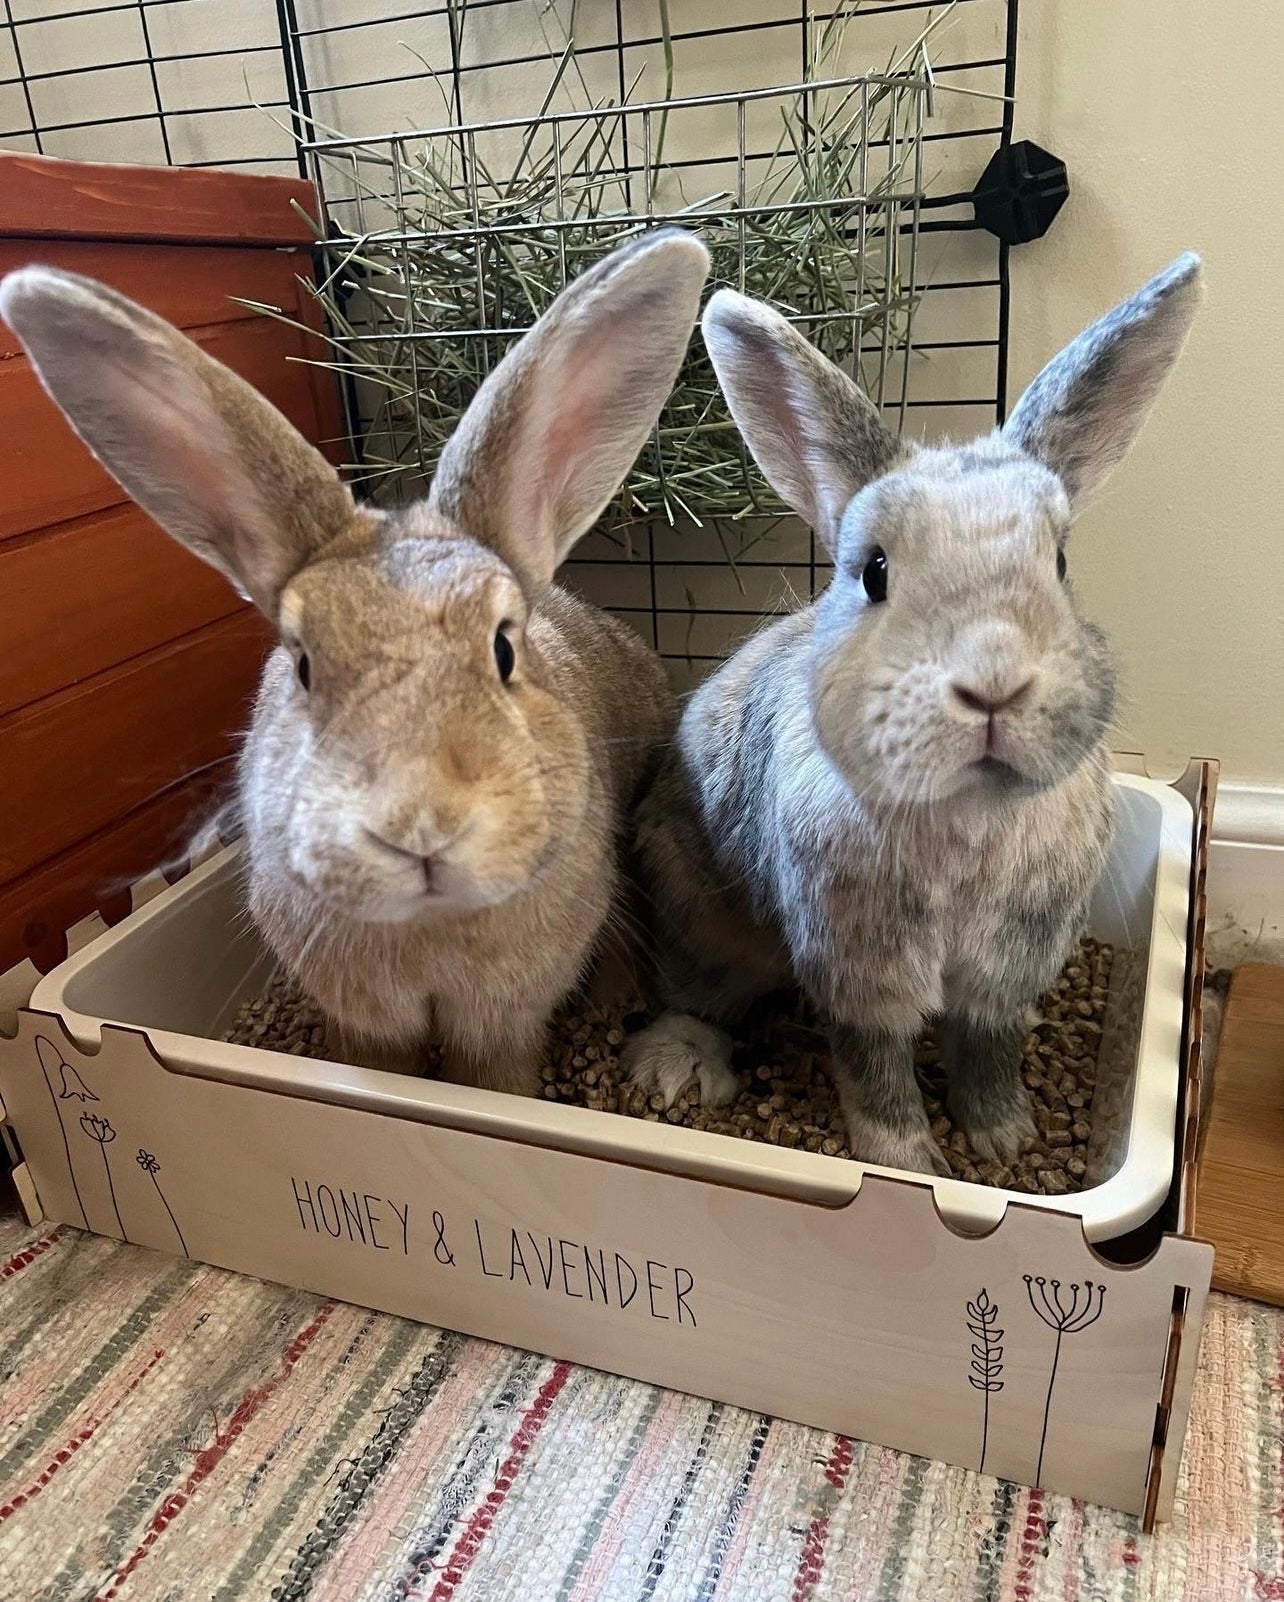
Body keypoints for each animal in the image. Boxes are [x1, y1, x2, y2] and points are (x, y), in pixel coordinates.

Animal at [0, 232, 711, 1095]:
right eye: (303, 665)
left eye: (504, 648)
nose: (420, 828)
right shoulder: (366, 1023)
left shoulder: (502, 1025)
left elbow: (497, 1080)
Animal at [625, 253, 1205, 1179]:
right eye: (875, 572)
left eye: (1060, 562)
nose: (994, 682)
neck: (967, 811)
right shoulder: (862, 969)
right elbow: (875, 1065)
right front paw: (906, 1161)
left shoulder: (1006, 968)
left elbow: (990, 1047)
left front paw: (1004, 1138)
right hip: (696, 913)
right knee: (698, 994)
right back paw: (678, 1068)